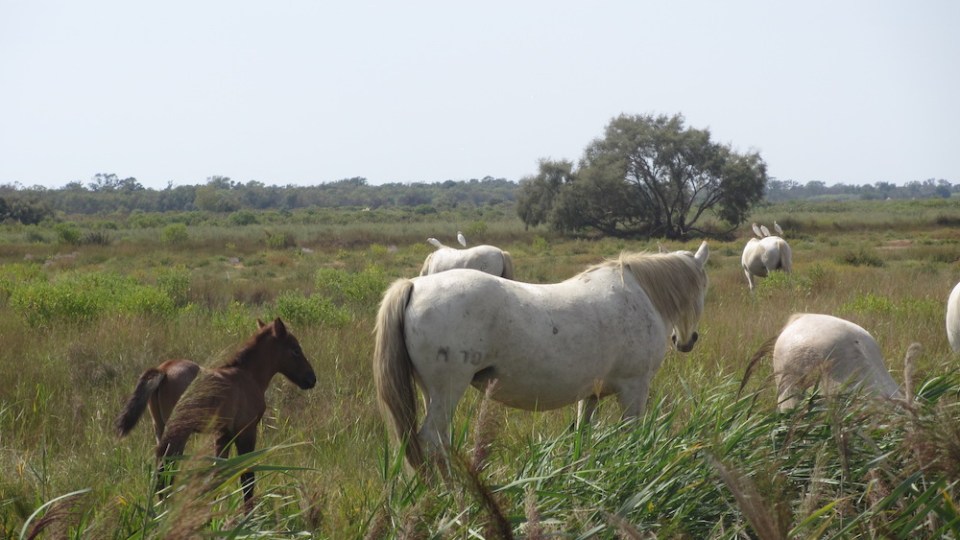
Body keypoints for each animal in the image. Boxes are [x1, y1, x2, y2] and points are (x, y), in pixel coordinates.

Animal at [115, 318, 316, 506]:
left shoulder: (223, 434)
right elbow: (247, 478)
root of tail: (162, 369)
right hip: (179, 431)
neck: (248, 375)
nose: (311, 378)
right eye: (295, 350)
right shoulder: (246, 430)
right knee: (166, 472)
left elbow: (217, 475)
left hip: (160, 427)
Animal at [375, 241, 710, 470]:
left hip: (431, 393)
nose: (686, 341)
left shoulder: (590, 395)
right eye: (701, 288)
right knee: (434, 441)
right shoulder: (634, 388)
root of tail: (414, 286)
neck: (640, 296)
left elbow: (582, 434)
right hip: (447, 391)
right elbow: (633, 435)